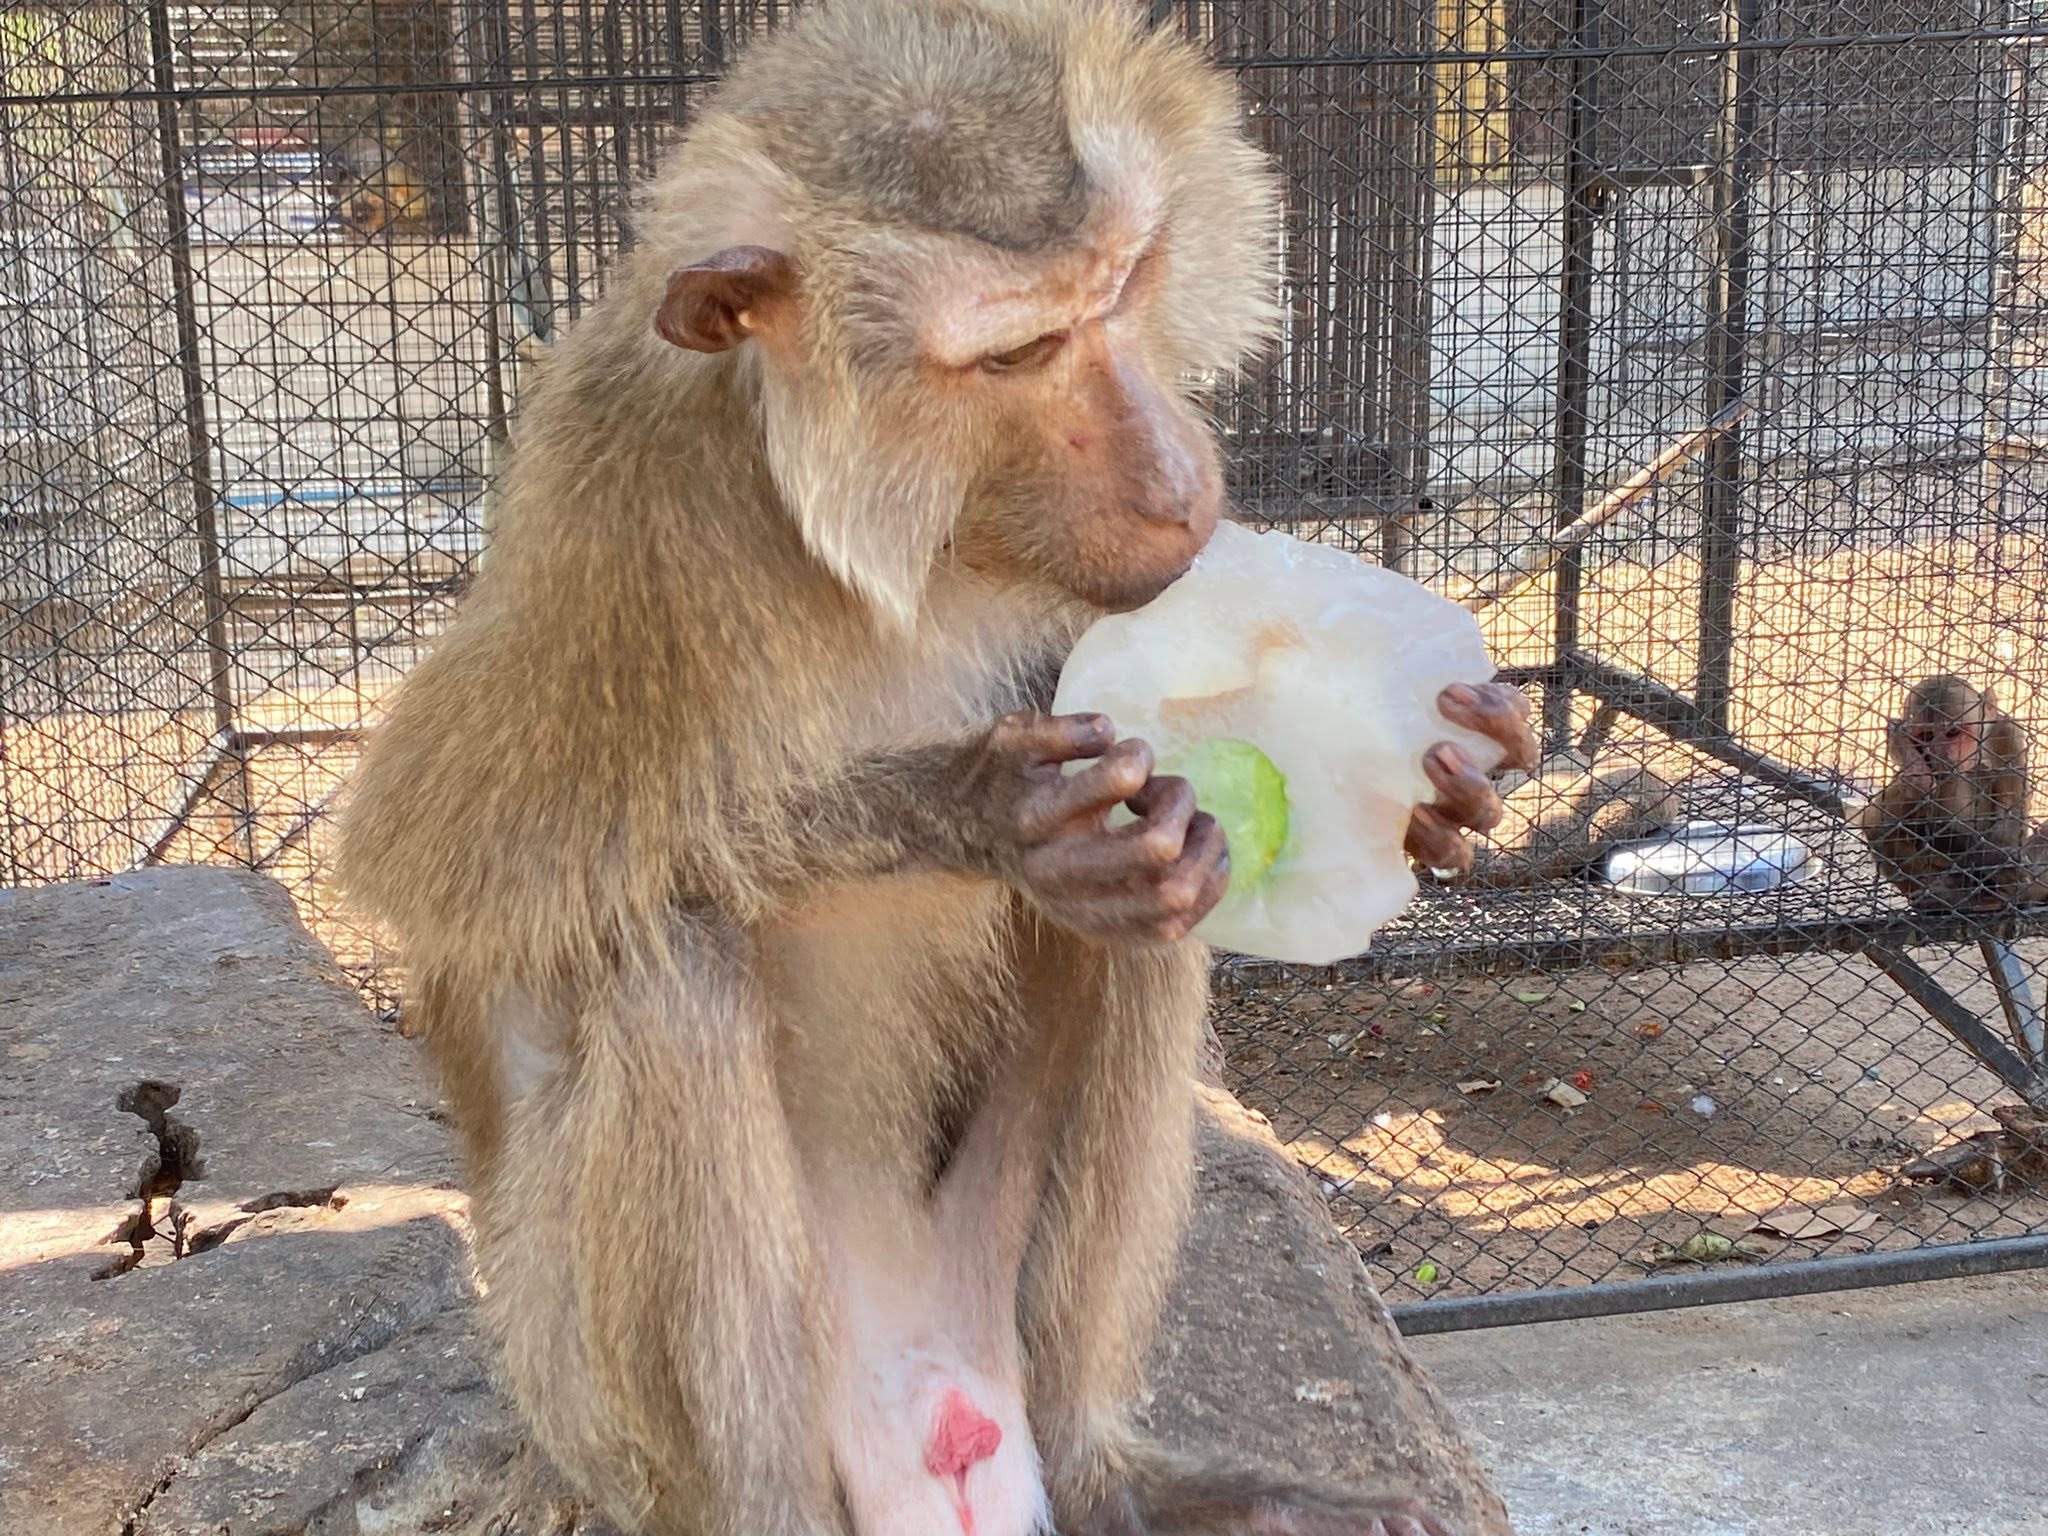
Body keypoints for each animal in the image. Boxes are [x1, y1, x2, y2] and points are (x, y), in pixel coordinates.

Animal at [336, 3, 1539, 1535]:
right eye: (1019, 352)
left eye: (1128, 285)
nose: (1172, 482)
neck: (905, 540)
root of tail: (938, 1402)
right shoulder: (620, 514)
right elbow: (447, 860)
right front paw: (984, 811)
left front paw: (1459, 788)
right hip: (587, 1400)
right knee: (670, 970)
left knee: (1158, 922)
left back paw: (1107, 1472)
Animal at [1855, 674, 2041, 910]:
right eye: (1927, 736)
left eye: (1953, 732)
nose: (1940, 753)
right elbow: (1889, 818)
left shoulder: (2008, 732)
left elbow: (2011, 814)